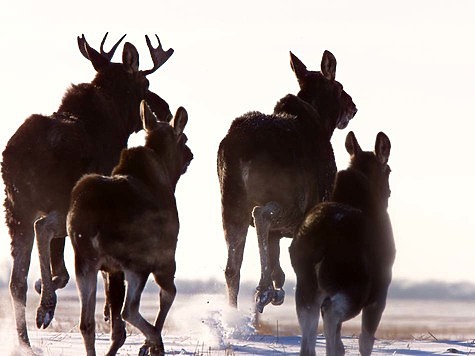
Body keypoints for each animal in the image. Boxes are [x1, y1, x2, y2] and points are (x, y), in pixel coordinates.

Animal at [0, 32, 176, 350]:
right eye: (145, 83)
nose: (165, 108)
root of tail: (19, 155)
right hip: (58, 201)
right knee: (43, 228)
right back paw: (45, 307)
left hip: (15, 208)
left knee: (16, 280)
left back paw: (25, 341)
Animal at [67, 101, 193, 356]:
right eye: (183, 138)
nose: (190, 155)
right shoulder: (166, 257)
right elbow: (169, 294)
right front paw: (149, 345)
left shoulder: (111, 270)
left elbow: (116, 329)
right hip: (138, 262)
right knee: (130, 310)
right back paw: (156, 343)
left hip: (85, 261)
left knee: (87, 322)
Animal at [218, 49, 356, 312]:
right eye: (339, 87)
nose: (353, 106)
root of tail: (241, 148)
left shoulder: (277, 234)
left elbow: (276, 262)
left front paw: (277, 290)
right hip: (289, 200)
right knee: (261, 214)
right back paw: (262, 290)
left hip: (230, 201)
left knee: (232, 267)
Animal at [292, 131, 396, 356]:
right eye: (389, 170)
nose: (389, 192)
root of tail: (320, 237)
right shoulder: (380, 291)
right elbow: (366, 339)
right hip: (355, 285)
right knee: (331, 314)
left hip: (306, 284)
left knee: (309, 332)